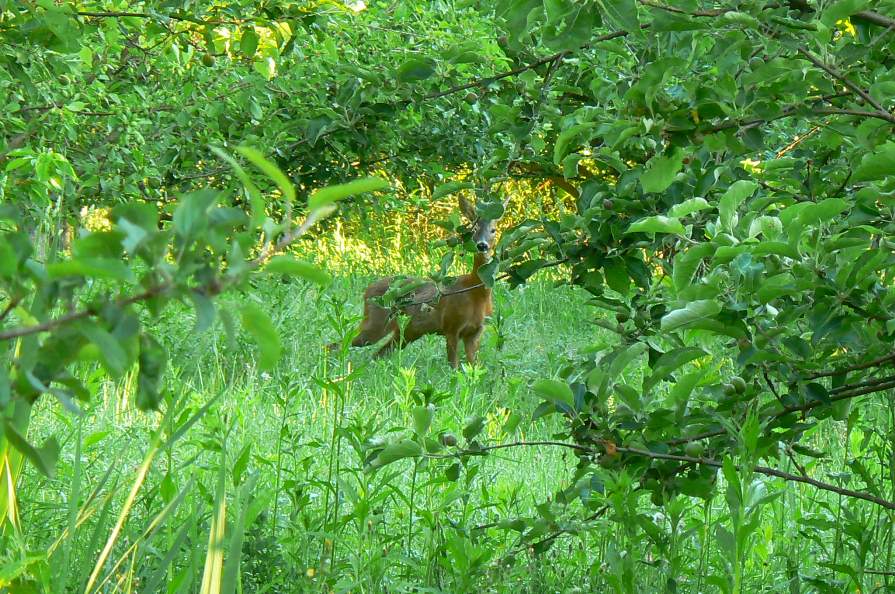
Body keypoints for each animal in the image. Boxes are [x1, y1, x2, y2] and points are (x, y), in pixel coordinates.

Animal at [330, 194, 512, 366]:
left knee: (376, 353)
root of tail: (367, 290)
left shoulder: (475, 332)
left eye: (493, 230)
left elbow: (473, 367)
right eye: (474, 229)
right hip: (376, 321)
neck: (476, 293)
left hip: (406, 331)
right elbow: (453, 366)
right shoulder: (451, 325)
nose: (482, 245)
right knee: (340, 344)